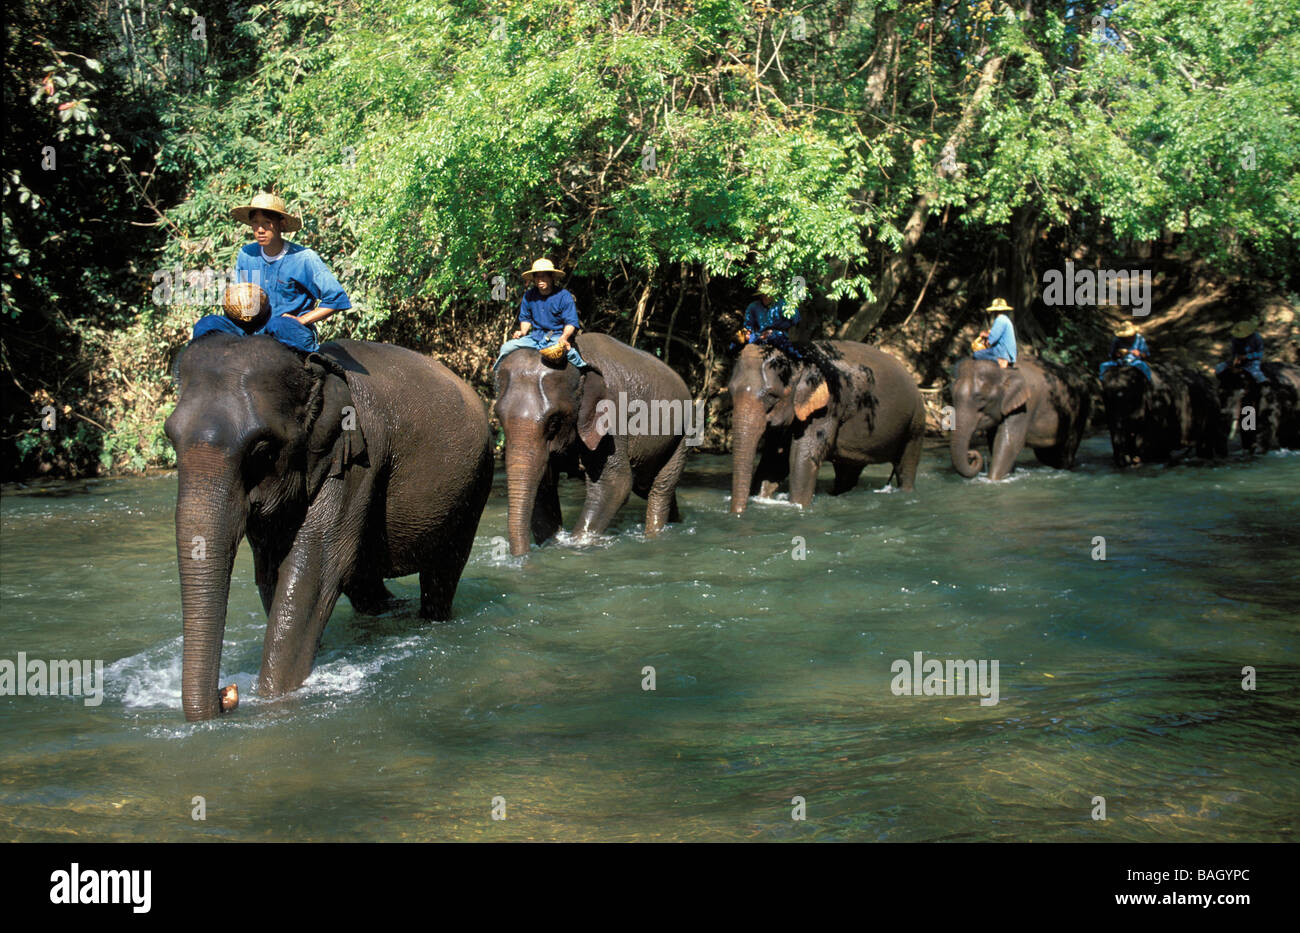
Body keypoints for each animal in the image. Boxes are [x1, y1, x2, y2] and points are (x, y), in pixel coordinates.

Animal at [167, 335, 491, 722]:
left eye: (261, 450)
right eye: (170, 439)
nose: (226, 695)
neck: (313, 369)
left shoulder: (355, 459)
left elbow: (312, 572)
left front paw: (273, 700)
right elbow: (271, 573)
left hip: (474, 485)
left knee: (442, 574)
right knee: (365, 585)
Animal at [488, 332, 691, 558]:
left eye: (554, 422)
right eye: (498, 417)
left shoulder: (612, 422)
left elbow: (615, 483)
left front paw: (576, 545)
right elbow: (544, 488)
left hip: (682, 434)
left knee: (660, 488)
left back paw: (654, 535)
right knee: (646, 486)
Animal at [733, 337, 925, 514]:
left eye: (772, 395)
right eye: (730, 391)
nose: (738, 513)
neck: (799, 354)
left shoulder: (829, 405)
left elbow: (801, 457)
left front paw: (798, 506)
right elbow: (774, 459)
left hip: (915, 423)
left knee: (905, 465)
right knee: (847, 472)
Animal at [951, 353, 1092, 478]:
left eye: (981, 399)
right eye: (953, 396)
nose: (971, 454)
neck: (1004, 371)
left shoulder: (1024, 406)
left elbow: (1009, 443)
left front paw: (992, 480)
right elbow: (995, 442)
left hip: (1080, 409)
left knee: (1066, 450)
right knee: (1046, 455)